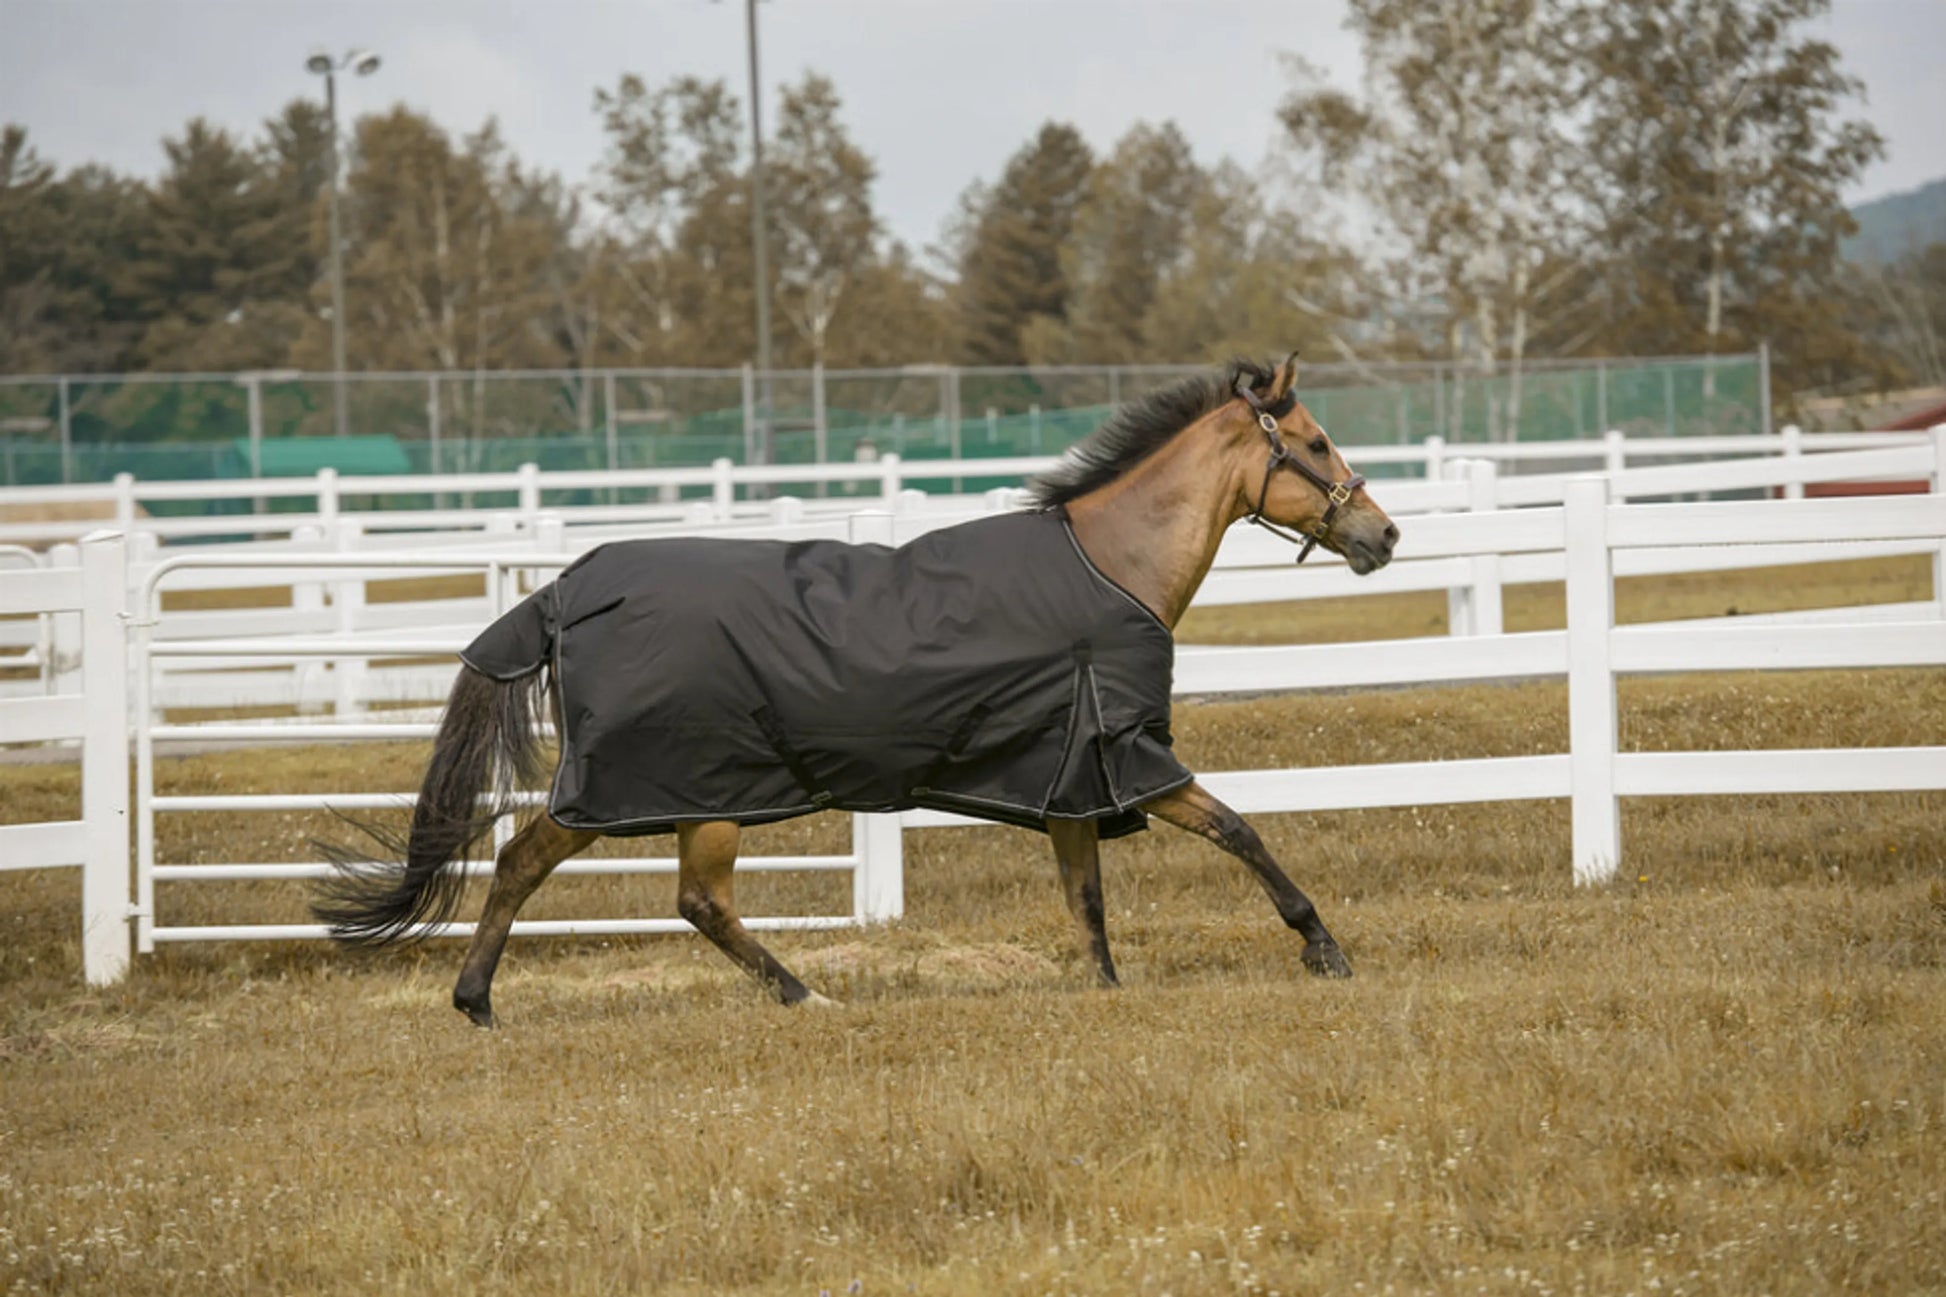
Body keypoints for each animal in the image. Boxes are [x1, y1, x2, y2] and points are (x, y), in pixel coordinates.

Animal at [314, 354, 1399, 1026]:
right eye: (1313, 440)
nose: (1381, 535)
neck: (1106, 565)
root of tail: (563, 592)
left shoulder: (1068, 780)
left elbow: (1085, 895)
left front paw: (1105, 985)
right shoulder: (1131, 758)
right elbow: (1238, 830)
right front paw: (1323, 947)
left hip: (683, 795)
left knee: (572, 873)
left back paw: (487, 1000)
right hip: (681, 790)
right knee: (637, 886)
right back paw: (790, 997)